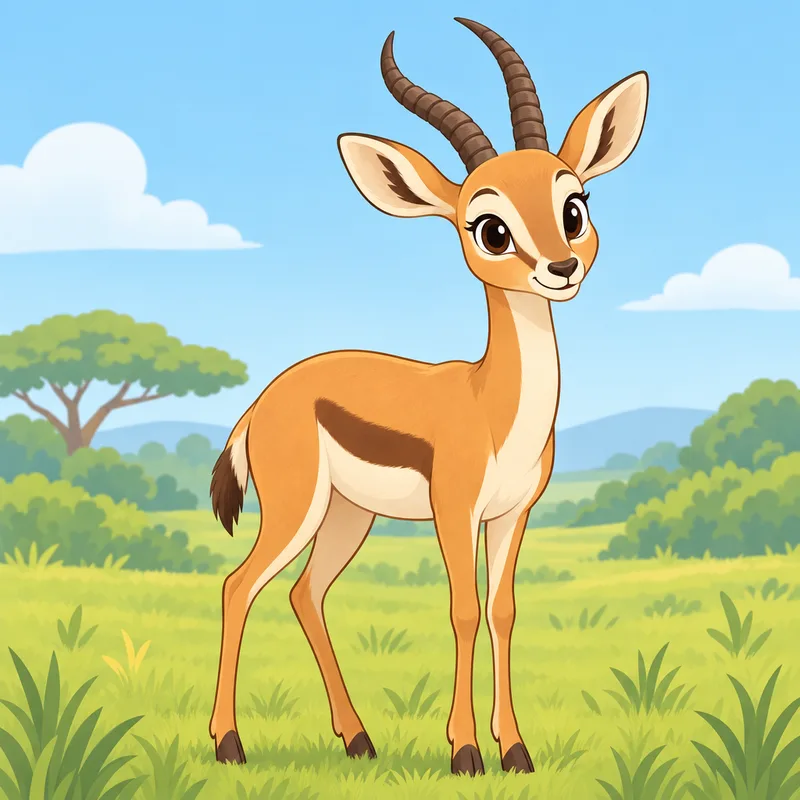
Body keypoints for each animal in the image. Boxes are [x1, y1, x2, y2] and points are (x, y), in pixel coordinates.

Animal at [208, 17, 648, 776]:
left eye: (574, 206)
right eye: (490, 227)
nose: (561, 268)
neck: (492, 402)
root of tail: (263, 401)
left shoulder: (511, 514)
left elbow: (503, 611)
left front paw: (516, 750)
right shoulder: (454, 511)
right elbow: (462, 610)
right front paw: (466, 751)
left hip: (349, 515)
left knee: (304, 592)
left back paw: (358, 739)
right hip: (297, 510)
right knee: (241, 586)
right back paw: (230, 744)